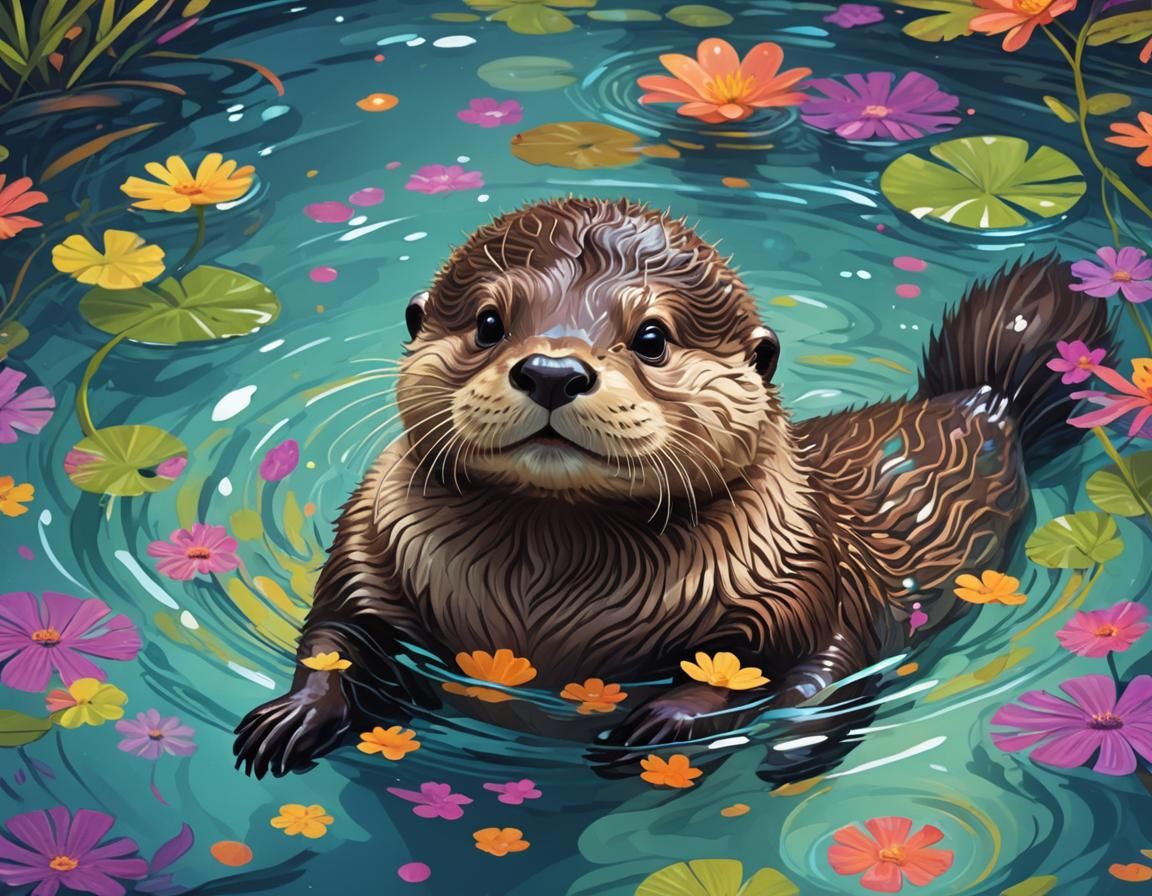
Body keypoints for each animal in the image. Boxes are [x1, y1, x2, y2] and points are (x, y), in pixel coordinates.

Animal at [234, 197, 1110, 779]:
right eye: (488, 323)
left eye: (651, 337)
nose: (551, 368)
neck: (543, 610)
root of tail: (979, 398)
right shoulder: (366, 543)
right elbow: (335, 635)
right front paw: (290, 719)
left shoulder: (807, 574)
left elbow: (807, 671)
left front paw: (674, 725)